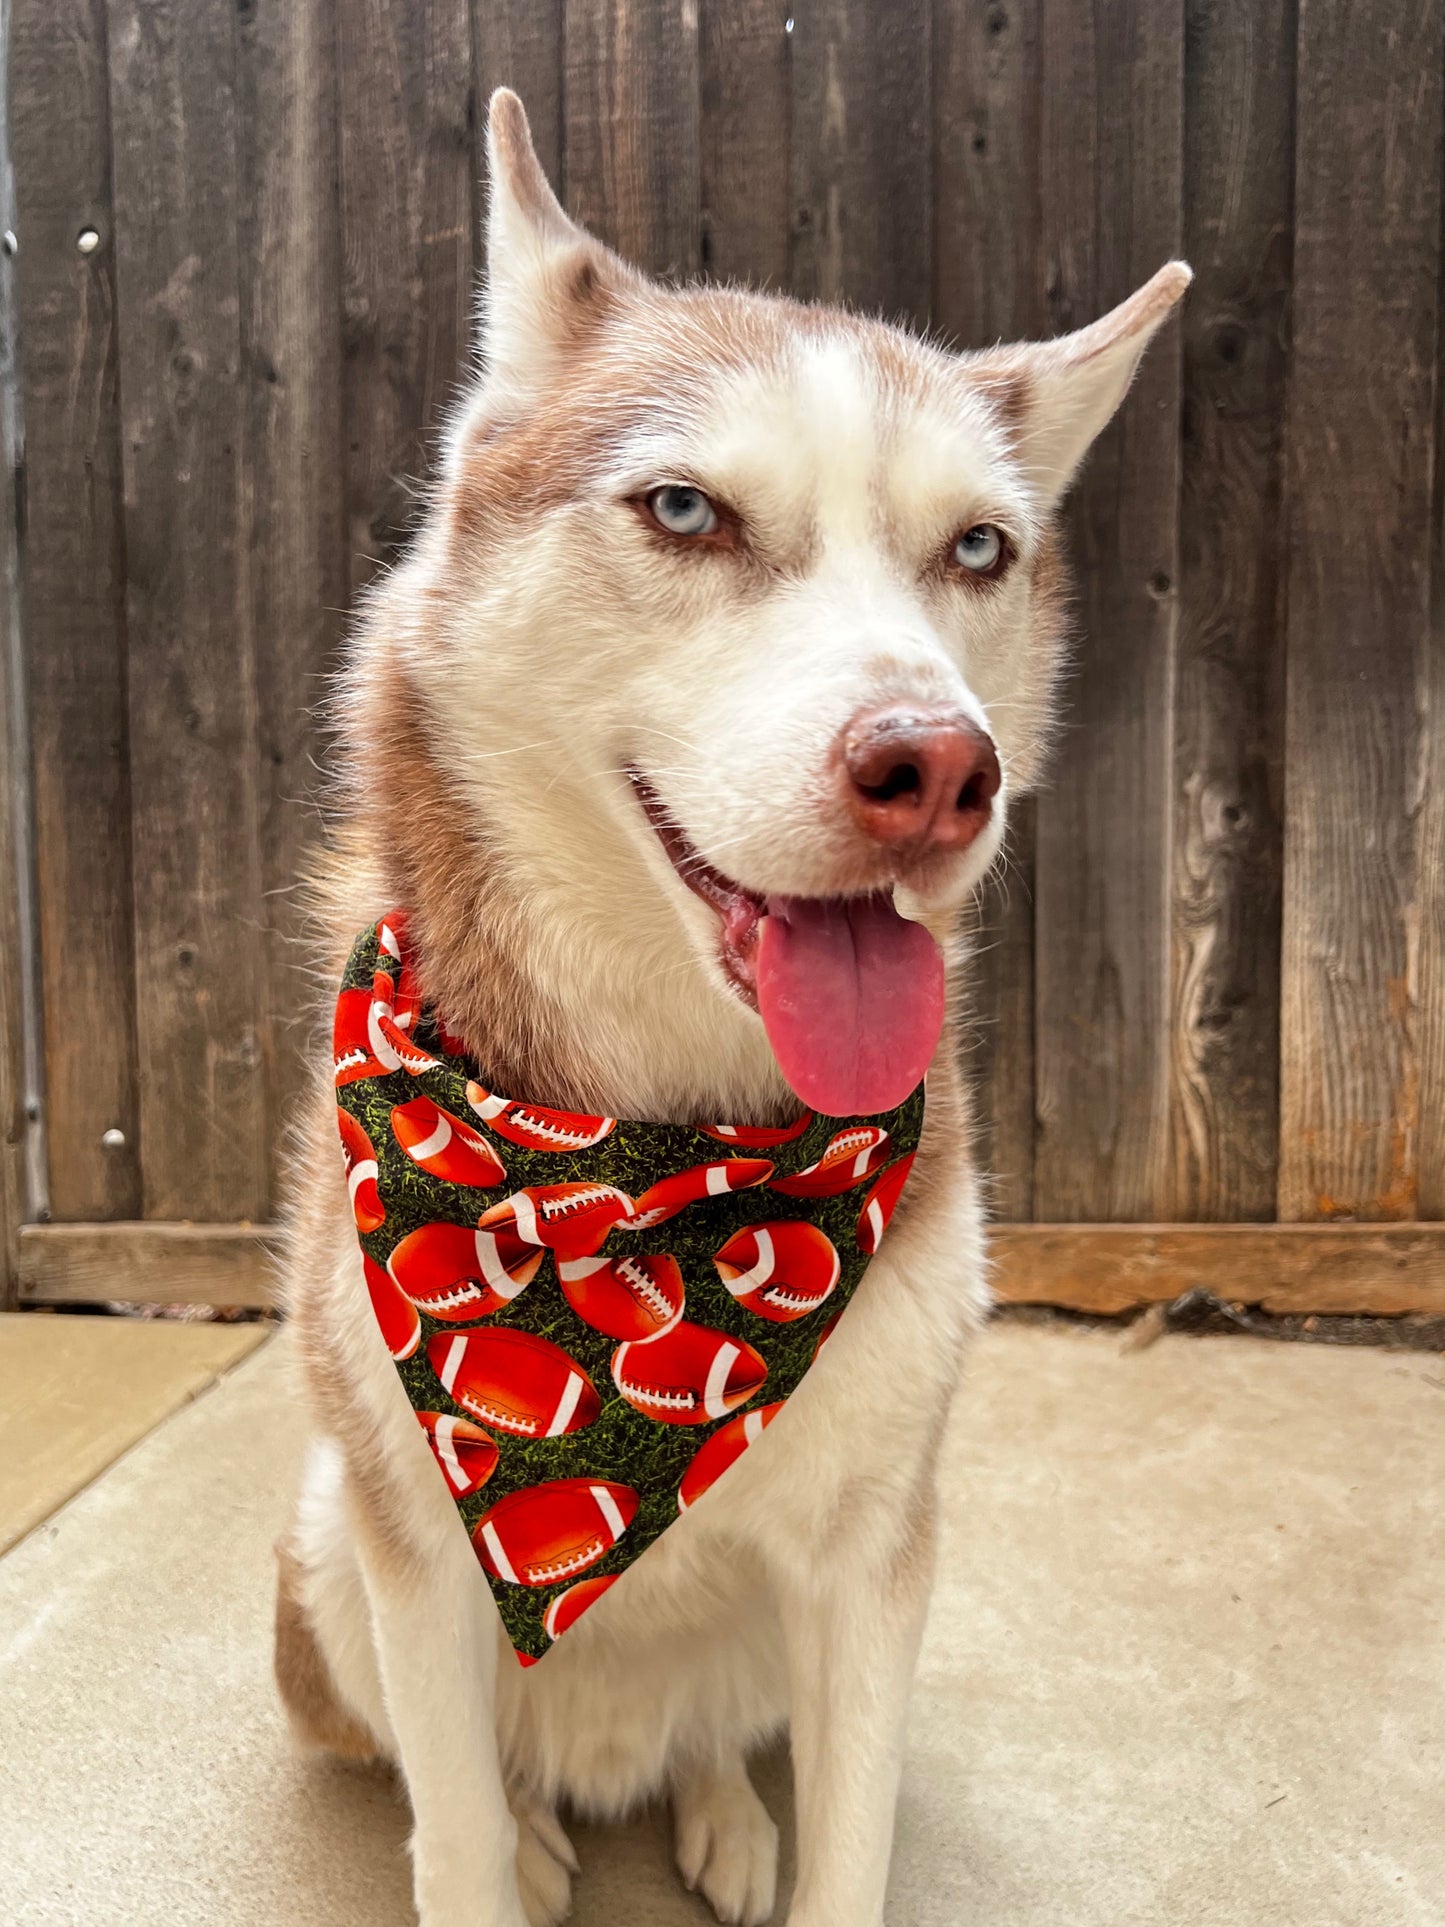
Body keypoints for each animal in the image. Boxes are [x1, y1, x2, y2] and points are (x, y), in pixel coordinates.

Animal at [277, 86, 1194, 1927]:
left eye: (977, 547)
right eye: (688, 511)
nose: (939, 770)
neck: (646, 1155)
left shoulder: (871, 1559)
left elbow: (854, 1845)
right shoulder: (417, 1548)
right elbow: (453, 1833)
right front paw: (496, 1851)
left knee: (706, 1733)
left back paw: (713, 1810)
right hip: (329, 1549)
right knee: (472, 1769)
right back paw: (550, 1819)